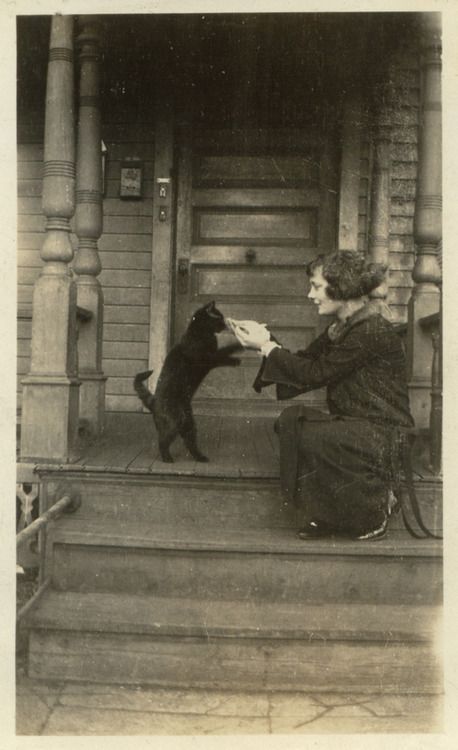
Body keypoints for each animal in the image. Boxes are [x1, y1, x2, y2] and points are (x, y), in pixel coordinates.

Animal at [133, 302, 242, 464]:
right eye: (219, 317)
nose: (225, 324)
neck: (199, 333)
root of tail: (153, 402)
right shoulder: (208, 359)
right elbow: (223, 354)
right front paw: (235, 359)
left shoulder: (210, 358)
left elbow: (227, 349)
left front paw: (241, 345)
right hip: (175, 422)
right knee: (162, 441)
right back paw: (168, 459)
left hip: (189, 423)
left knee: (189, 442)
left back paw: (201, 457)